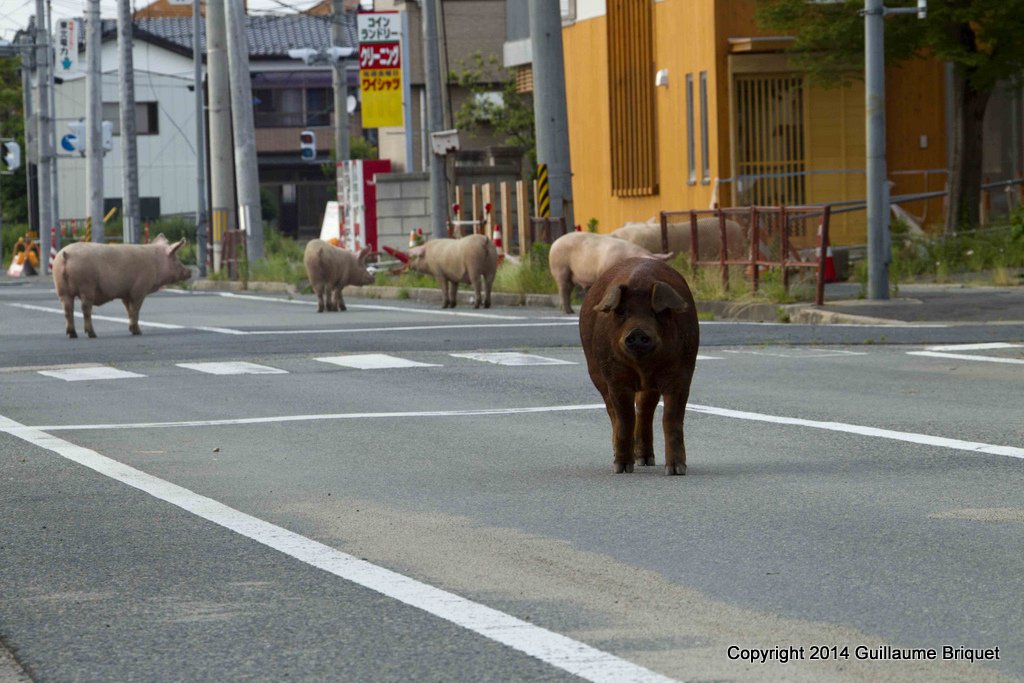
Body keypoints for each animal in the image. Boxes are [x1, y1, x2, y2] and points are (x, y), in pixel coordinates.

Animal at [52, 235, 192, 339]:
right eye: (175, 258)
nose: (189, 271)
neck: (156, 263)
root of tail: (66, 254)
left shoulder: (126, 294)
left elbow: (128, 310)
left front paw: (133, 330)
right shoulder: (139, 290)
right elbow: (135, 311)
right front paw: (138, 332)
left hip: (61, 288)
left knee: (67, 310)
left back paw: (72, 334)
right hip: (86, 285)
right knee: (85, 309)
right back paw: (92, 334)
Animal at [581, 255, 700, 475]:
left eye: (657, 312)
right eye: (622, 312)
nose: (637, 332)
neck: (643, 368)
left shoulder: (681, 376)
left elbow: (671, 419)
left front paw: (676, 470)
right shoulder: (616, 378)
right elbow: (625, 418)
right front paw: (622, 468)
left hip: (651, 387)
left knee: (645, 410)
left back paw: (646, 460)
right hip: (595, 372)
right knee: (613, 412)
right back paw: (624, 460)